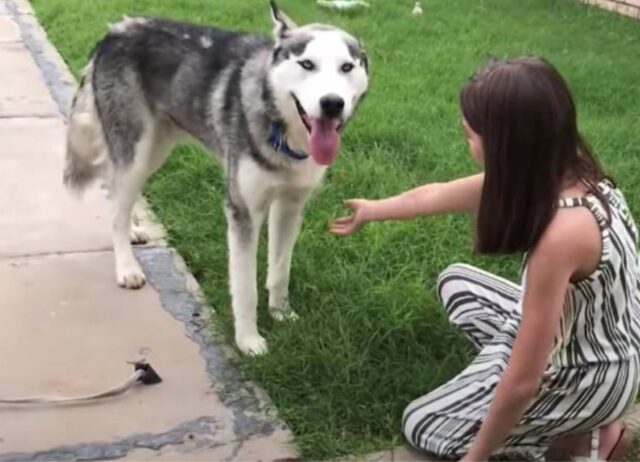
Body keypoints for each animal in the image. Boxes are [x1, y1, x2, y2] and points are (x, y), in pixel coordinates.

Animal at [64, 1, 370, 356]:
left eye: (346, 67)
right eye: (307, 64)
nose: (332, 104)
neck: (283, 133)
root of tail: (114, 31)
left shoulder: (290, 206)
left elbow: (280, 269)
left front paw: (281, 313)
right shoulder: (242, 211)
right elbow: (245, 287)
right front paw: (248, 340)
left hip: (154, 150)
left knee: (114, 192)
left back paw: (133, 230)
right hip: (135, 148)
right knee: (117, 202)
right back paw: (126, 266)